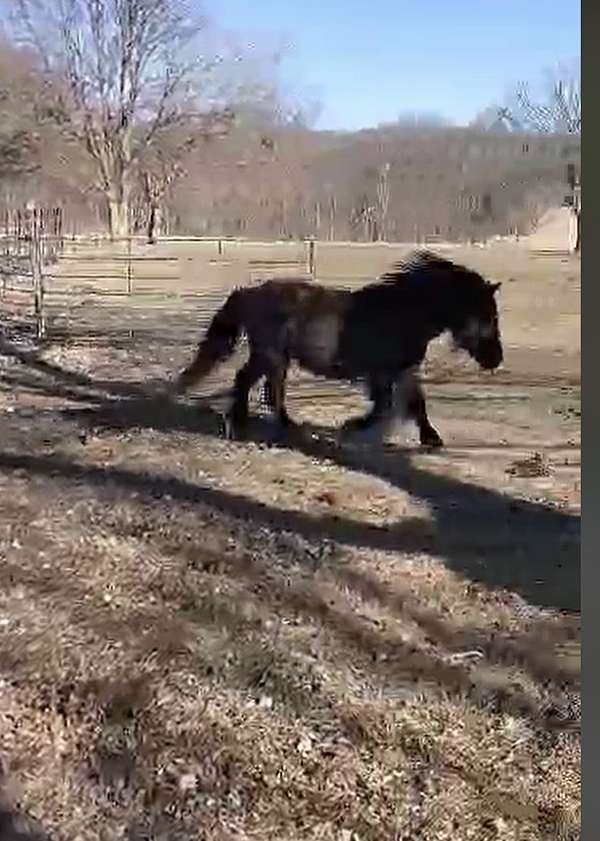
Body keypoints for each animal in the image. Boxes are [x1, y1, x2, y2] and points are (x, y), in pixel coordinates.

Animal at [172, 251, 502, 442]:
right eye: (486, 315)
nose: (495, 359)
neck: (404, 311)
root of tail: (250, 292)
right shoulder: (384, 371)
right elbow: (385, 406)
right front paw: (353, 426)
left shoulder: (403, 369)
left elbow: (412, 403)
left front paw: (430, 438)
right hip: (270, 354)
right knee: (252, 382)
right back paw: (243, 425)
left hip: (276, 357)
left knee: (266, 387)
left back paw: (278, 424)